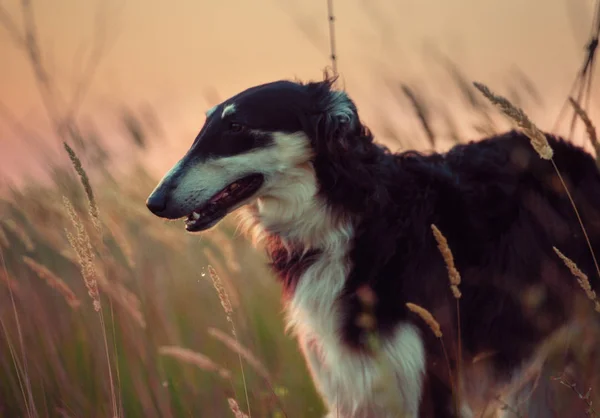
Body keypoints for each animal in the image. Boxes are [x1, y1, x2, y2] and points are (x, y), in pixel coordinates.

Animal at [146, 76, 600, 416]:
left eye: (237, 127)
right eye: (205, 127)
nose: (155, 202)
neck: (351, 222)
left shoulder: (427, 379)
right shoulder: (350, 386)